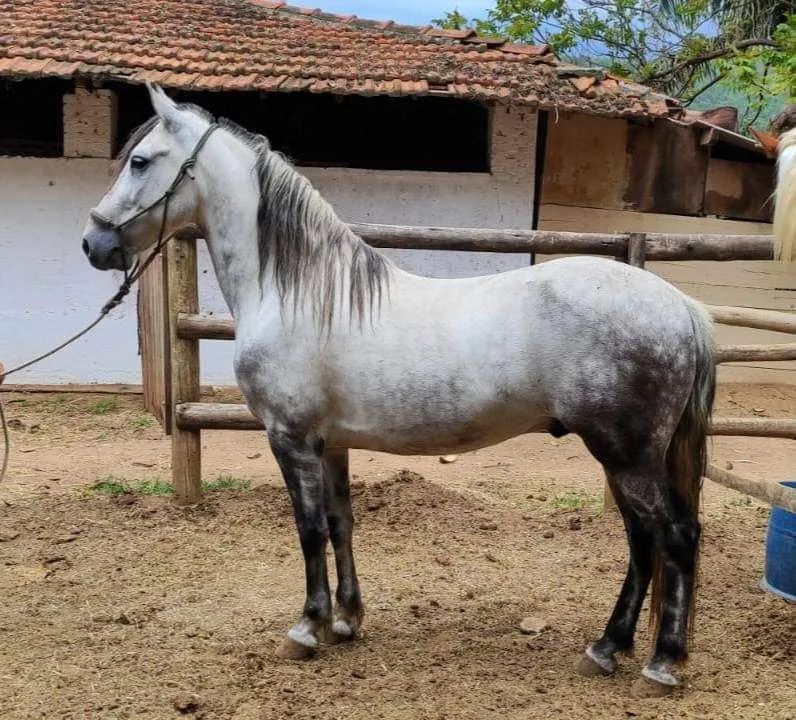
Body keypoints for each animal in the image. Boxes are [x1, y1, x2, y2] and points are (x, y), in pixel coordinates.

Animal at [82, 85, 718, 698]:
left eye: (139, 161)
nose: (93, 243)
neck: (296, 291)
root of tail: (680, 306)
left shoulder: (290, 439)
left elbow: (309, 529)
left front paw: (306, 629)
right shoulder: (330, 444)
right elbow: (340, 522)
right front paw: (346, 620)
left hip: (627, 456)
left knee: (675, 536)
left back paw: (662, 663)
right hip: (623, 458)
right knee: (642, 542)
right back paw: (607, 648)